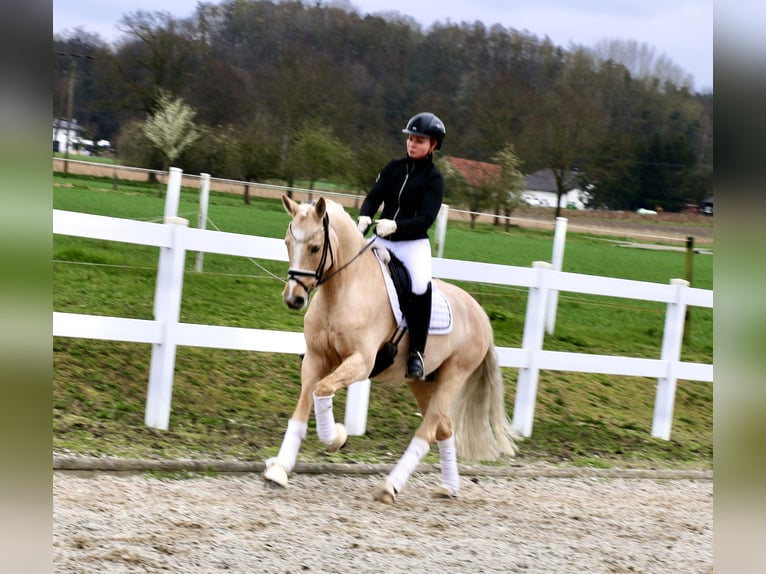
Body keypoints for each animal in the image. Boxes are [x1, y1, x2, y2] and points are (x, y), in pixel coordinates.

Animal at [262, 197, 516, 504]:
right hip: (421, 381)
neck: (343, 290)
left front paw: (336, 437)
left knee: (428, 430)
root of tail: (480, 313)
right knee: (444, 428)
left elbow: (322, 390)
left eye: (314, 247)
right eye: (287, 242)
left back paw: (390, 486)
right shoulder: (315, 359)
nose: (293, 299)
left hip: (453, 375)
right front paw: (279, 470)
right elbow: (300, 414)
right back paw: (448, 487)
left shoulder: (361, 363)